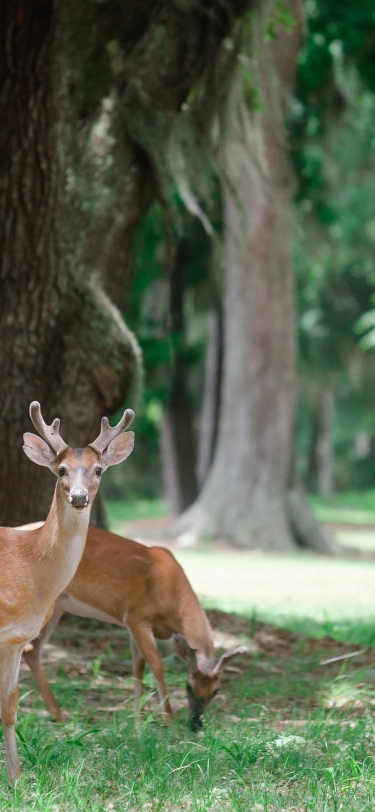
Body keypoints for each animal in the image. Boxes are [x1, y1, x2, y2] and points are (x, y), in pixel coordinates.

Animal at [0, 402, 135, 784]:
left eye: (99, 470)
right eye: (60, 469)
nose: (78, 497)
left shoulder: (16, 638)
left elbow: (10, 707)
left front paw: (16, 779)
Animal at [21, 528, 250, 728]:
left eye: (216, 690)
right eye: (188, 686)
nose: (195, 725)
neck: (171, 595)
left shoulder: (132, 626)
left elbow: (138, 667)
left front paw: (138, 721)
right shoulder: (137, 617)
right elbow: (157, 665)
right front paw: (169, 722)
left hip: (58, 606)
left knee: (32, 651)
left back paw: (58, 716)